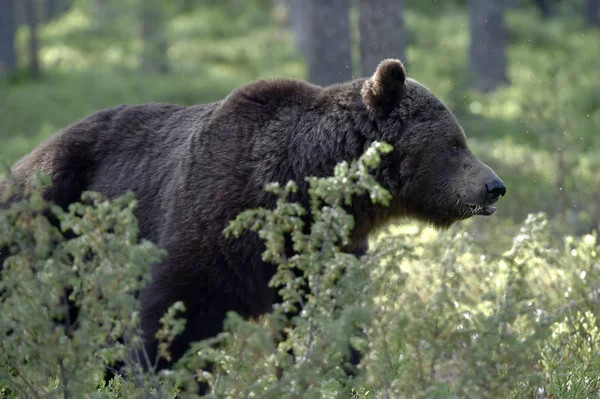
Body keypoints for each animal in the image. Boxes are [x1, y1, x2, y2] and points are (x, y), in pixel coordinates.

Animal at [0, 58, 504, 372]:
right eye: (455, 144)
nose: (494, 185)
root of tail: (24, 160)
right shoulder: (208, 224)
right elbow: (172, 317)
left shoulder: (324, 250)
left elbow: (333, 320)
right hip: (48, 216)